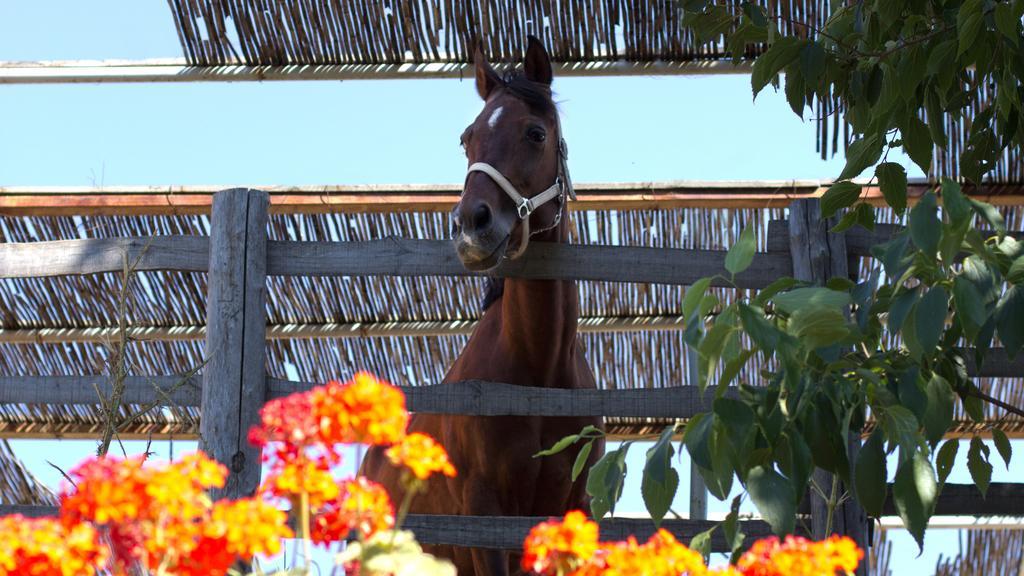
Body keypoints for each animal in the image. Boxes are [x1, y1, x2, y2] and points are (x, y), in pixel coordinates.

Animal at [360, 36, 602, 573]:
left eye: (535, 133)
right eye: (466, 138)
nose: (471, 223)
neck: (537, 377)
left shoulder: (570, 512)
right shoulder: (484, 517)